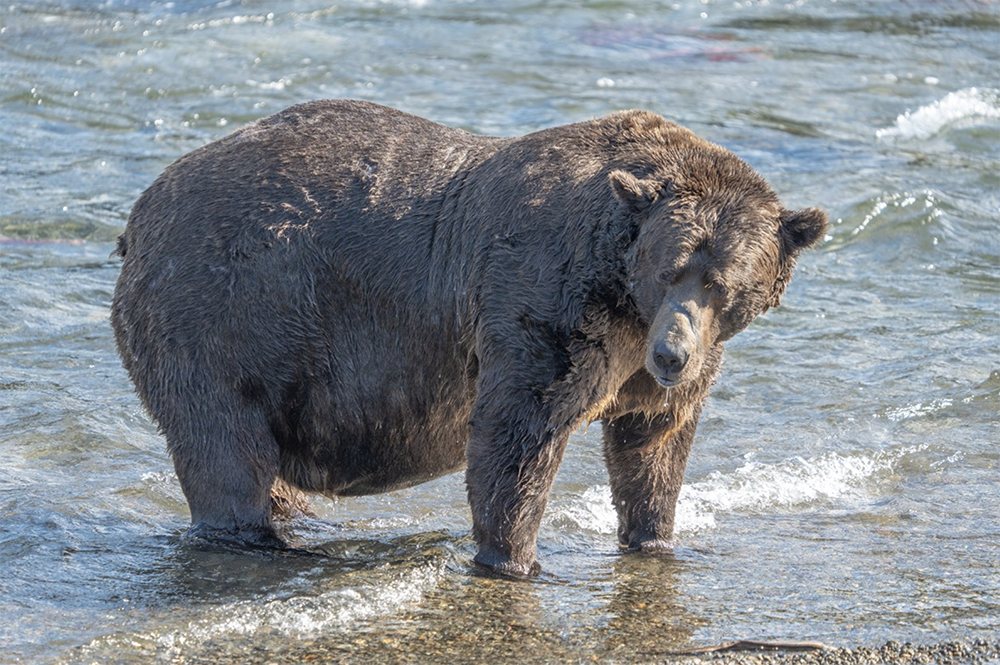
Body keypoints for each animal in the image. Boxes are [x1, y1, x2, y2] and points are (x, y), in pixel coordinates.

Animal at [111, 98, 828, 576]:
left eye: (722, 283)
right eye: (670, 268)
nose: (672, 354)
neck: (623, 292)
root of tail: (138, 215)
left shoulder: (650, 361)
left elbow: (653, 443)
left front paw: (654, 537)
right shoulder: (545, 301)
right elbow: (519, 433)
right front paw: (514, 558)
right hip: (224, 313)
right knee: (225, 447)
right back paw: (256, 538)